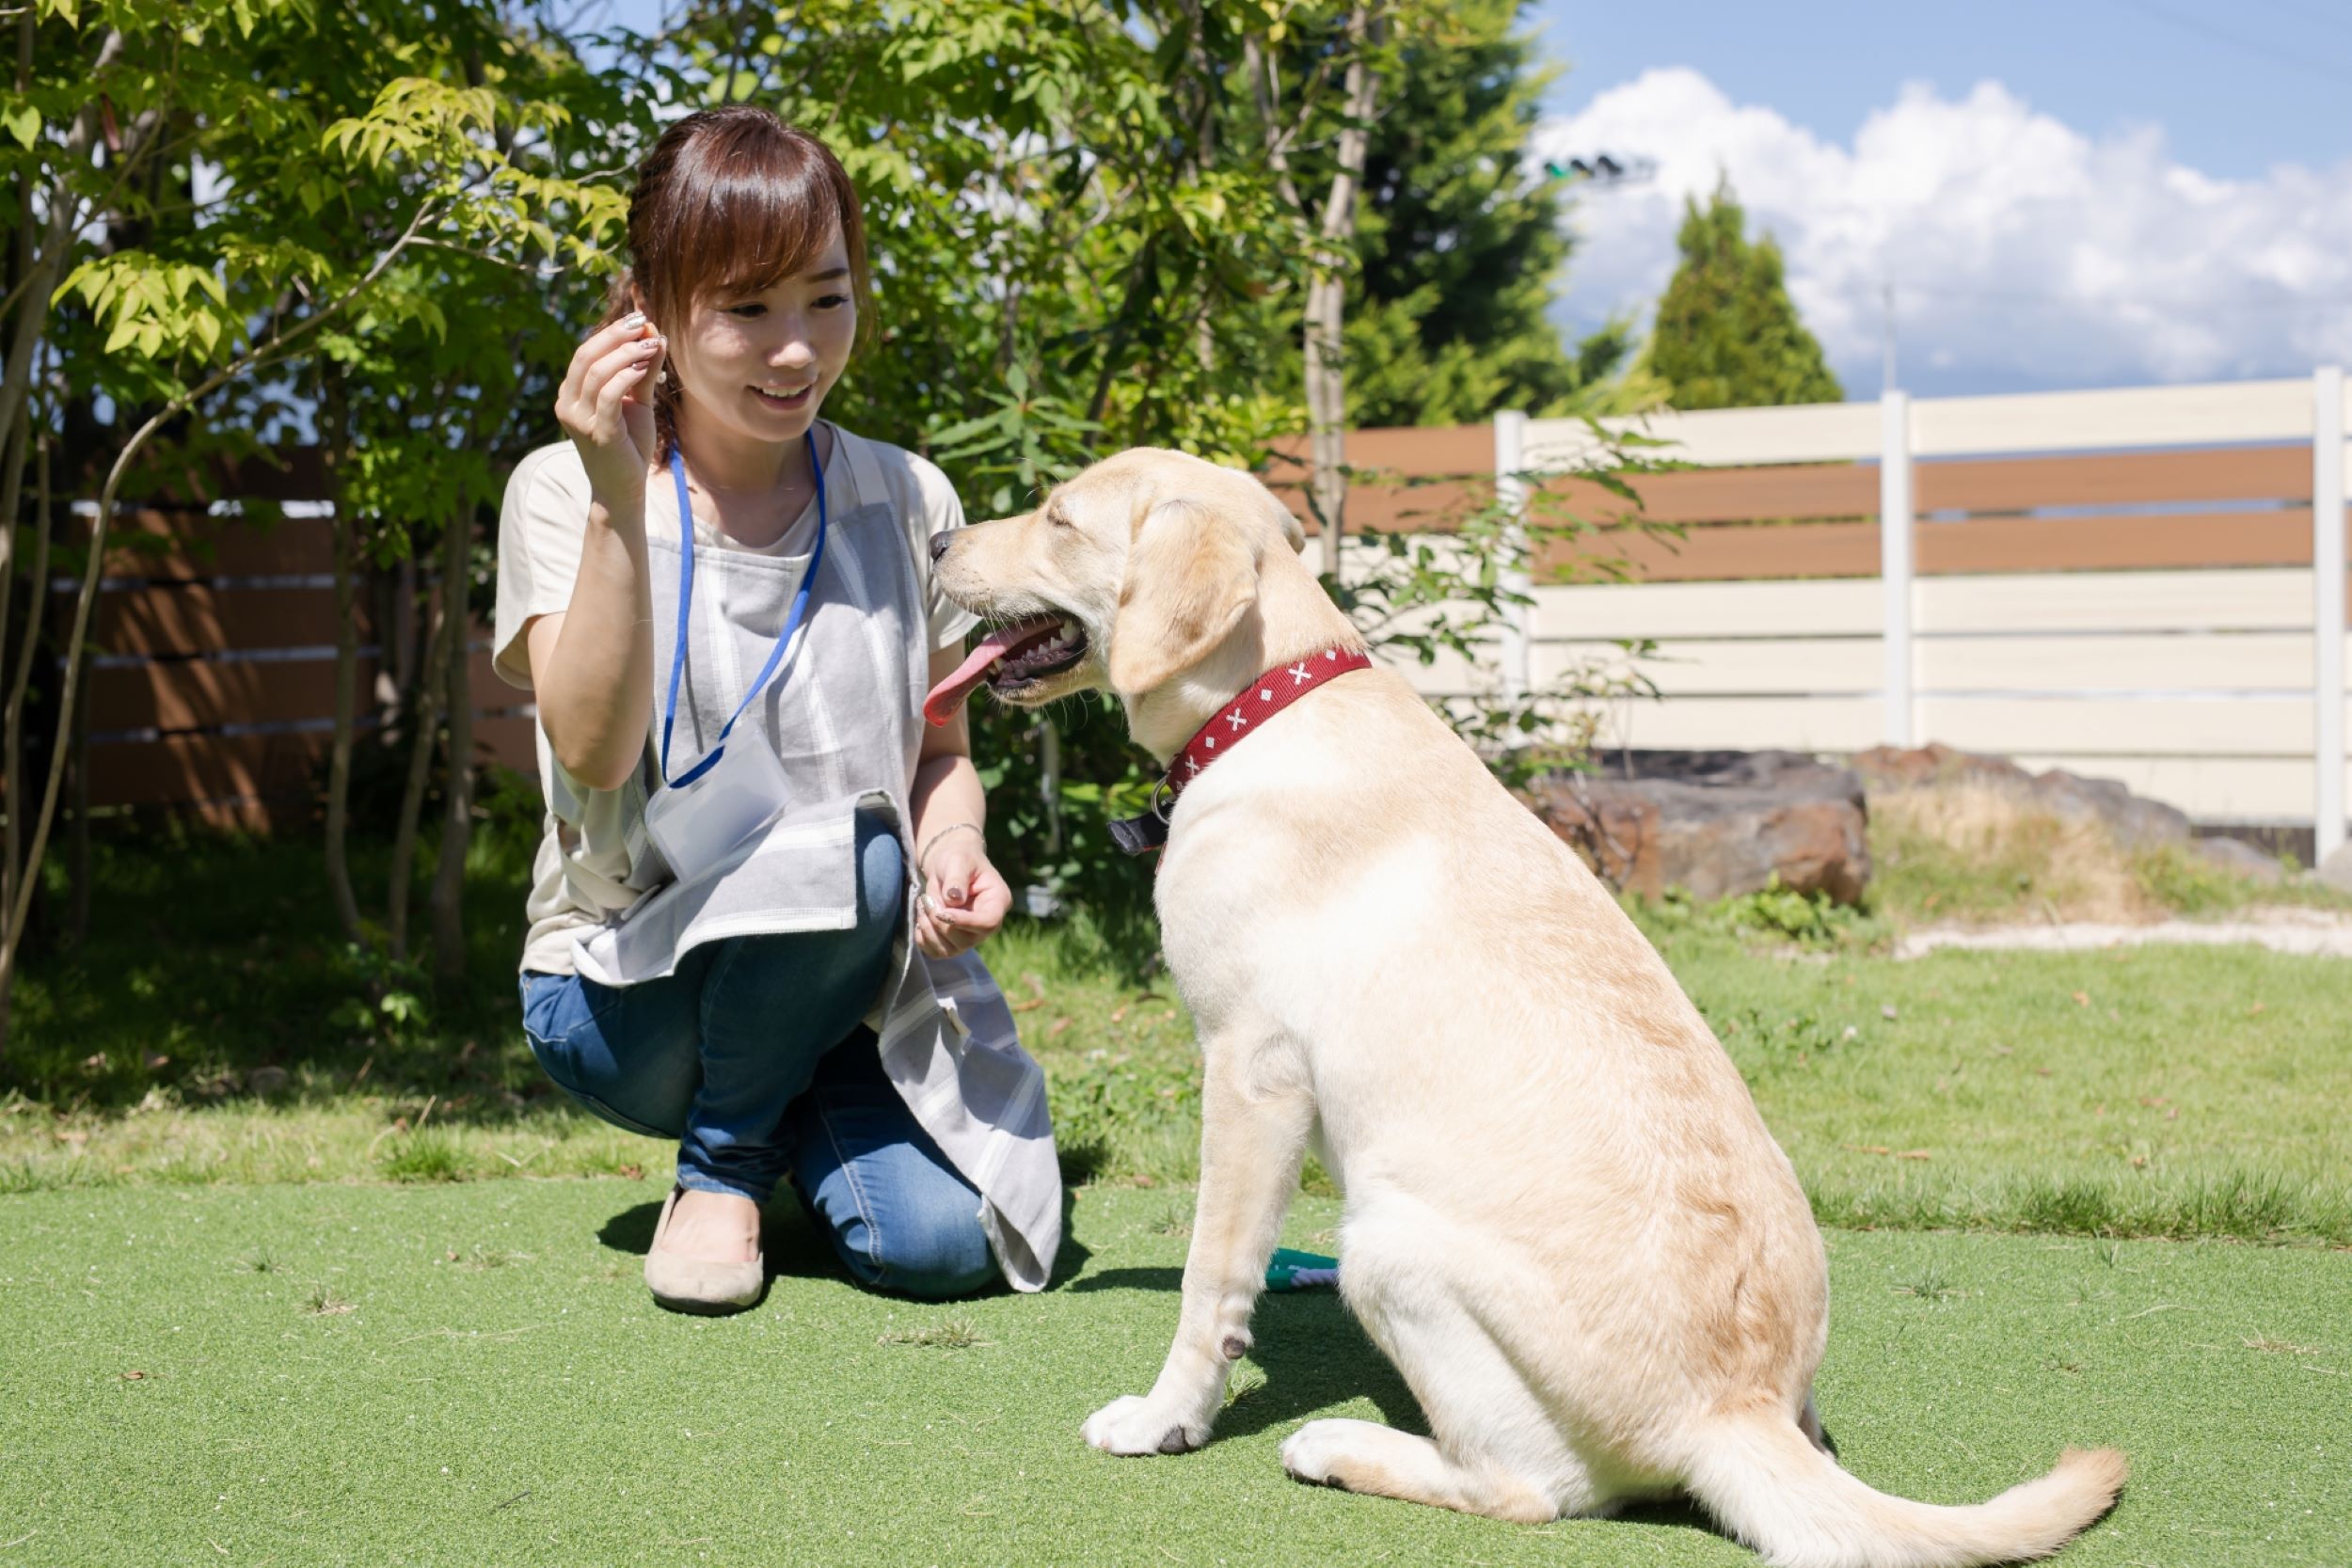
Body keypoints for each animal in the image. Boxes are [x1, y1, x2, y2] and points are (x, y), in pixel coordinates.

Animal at [927, 446, 2126, 1560]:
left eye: (1057, 516)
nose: (935, 543)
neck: (1263, 705)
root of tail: (1735, 1410)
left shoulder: (1249, 1067)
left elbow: (1207, 1279)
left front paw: (1165, 1420)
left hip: (1385, 1242)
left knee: (1527, 1487)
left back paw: (1343, 1444)